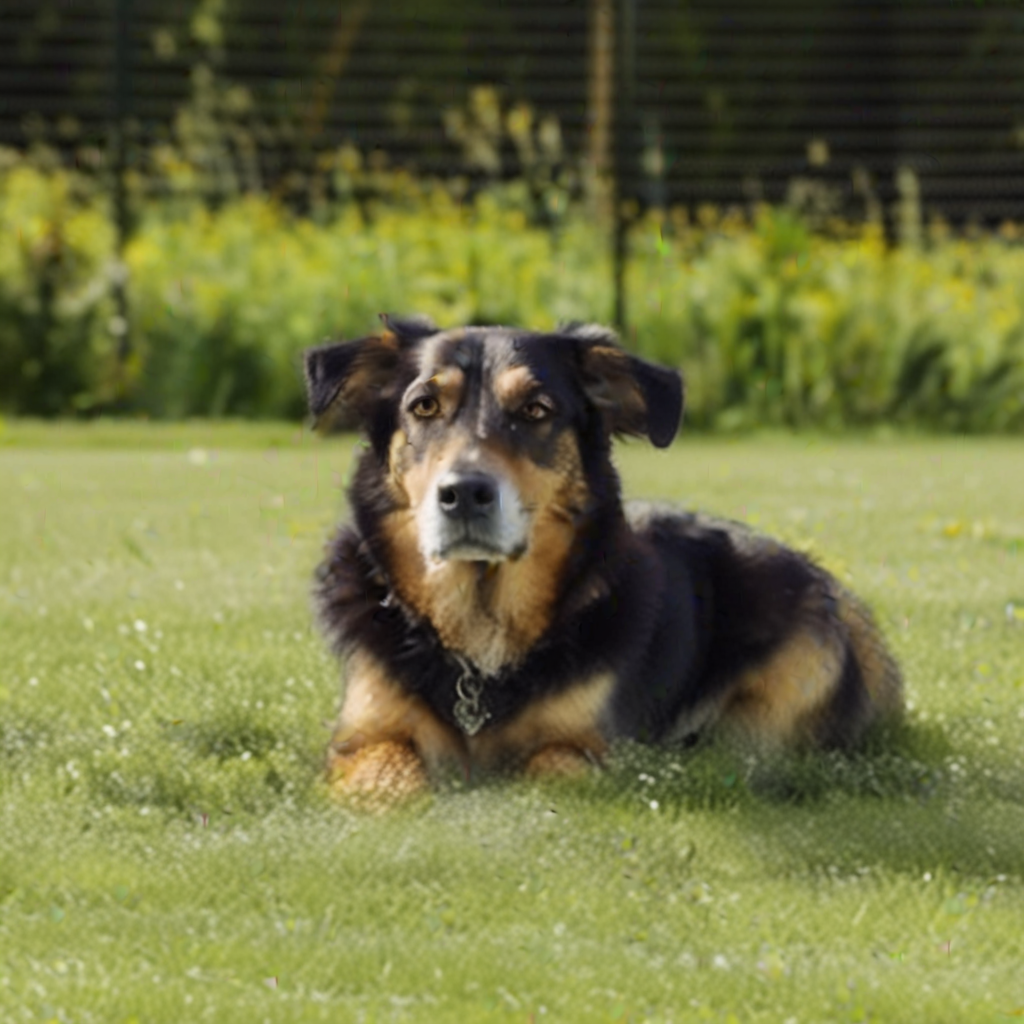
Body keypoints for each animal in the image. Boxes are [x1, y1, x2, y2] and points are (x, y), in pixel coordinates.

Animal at [305, 315, 905, 802]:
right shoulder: (363, 736)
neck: (478, 634)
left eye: (536, 410)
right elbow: (389, 774)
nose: (464, 494)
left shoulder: (591, 748)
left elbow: (546, 768)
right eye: (423, 406)